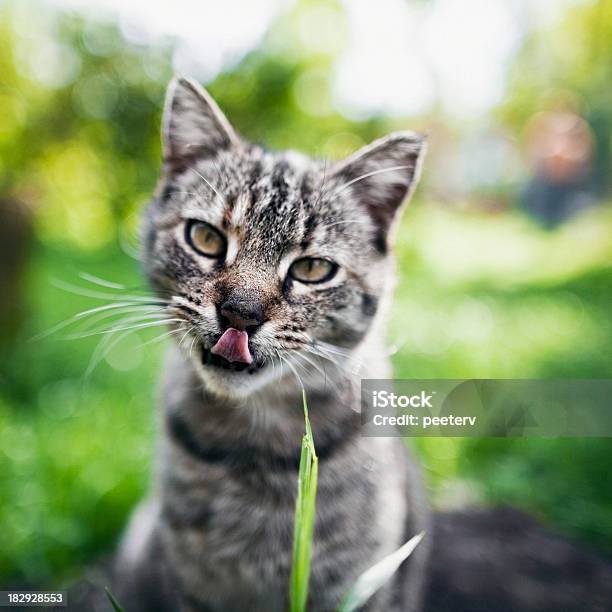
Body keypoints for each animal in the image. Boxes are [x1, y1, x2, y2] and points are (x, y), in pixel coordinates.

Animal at [112, 77, 432, 612]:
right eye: (205, 238)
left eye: (312, 268)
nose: (240, 313)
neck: (253, 445)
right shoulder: (190, 585)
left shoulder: (360, 583)